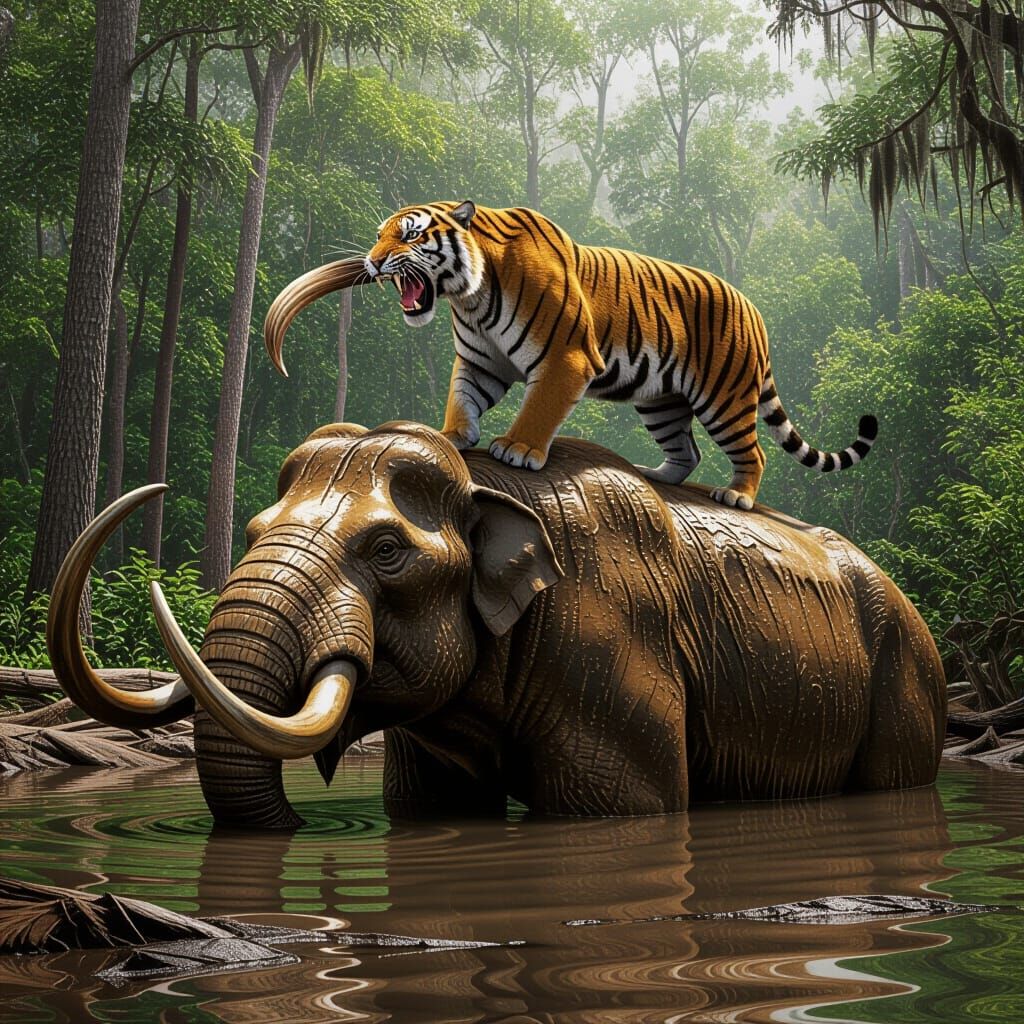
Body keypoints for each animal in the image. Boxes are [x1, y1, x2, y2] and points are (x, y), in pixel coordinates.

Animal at [290, 200, 879, 510]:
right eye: (379, 234)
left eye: (409, 235)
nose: (373, 261)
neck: (469, 296)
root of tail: (754, 308)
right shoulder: (480, 362)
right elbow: (462, 398)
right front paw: (453, 435)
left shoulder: (565, 358)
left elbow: (539, 408)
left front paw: (516, 450)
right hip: (660, 402)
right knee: (686, 451)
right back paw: (654, 473)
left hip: (725, 398)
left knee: (752, 452)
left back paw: (736, 496)